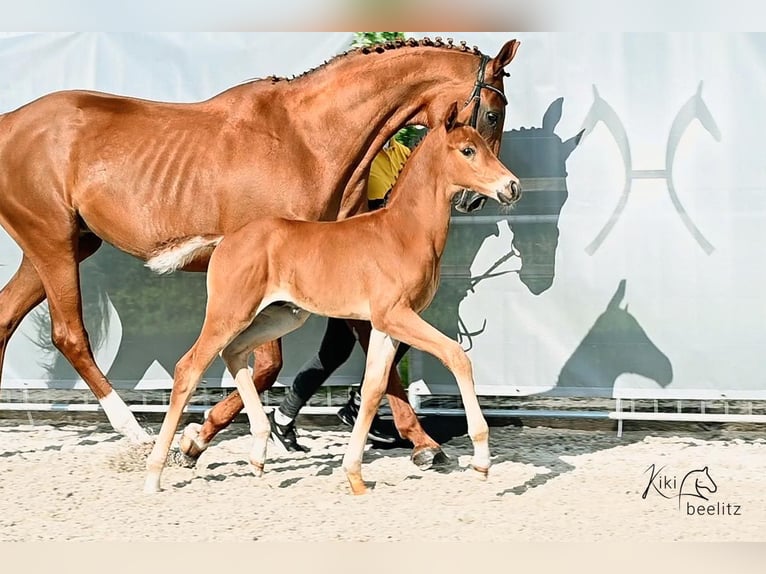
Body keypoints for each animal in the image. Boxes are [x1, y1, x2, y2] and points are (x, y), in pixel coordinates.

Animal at [144, 102, 520, 496]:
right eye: (468, 150)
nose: (512, 187)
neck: (403, 231)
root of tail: (225, 239)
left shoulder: (384, 326)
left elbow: (373, 389)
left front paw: (355, 476)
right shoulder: (395, 315)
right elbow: (456, 355)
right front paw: (481, 462)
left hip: (282, 316)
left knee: (233, 354)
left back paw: (258, 453)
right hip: (228, 313)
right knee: (189, 367)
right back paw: (155, 474)